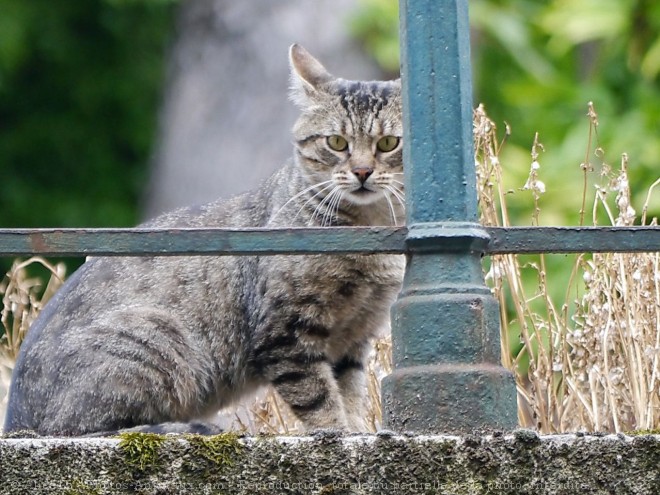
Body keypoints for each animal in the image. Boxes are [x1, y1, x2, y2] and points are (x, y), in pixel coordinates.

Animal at [2, 44, 404, 436]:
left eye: (388, 143)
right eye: (336, 142)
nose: (362, 171)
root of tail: (16, 422)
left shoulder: (353, 339)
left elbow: (350, 394)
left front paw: (358, 430)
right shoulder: (285, 333)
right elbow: (319, 399)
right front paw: (340, 434)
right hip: (156, 337)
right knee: (84, 429)